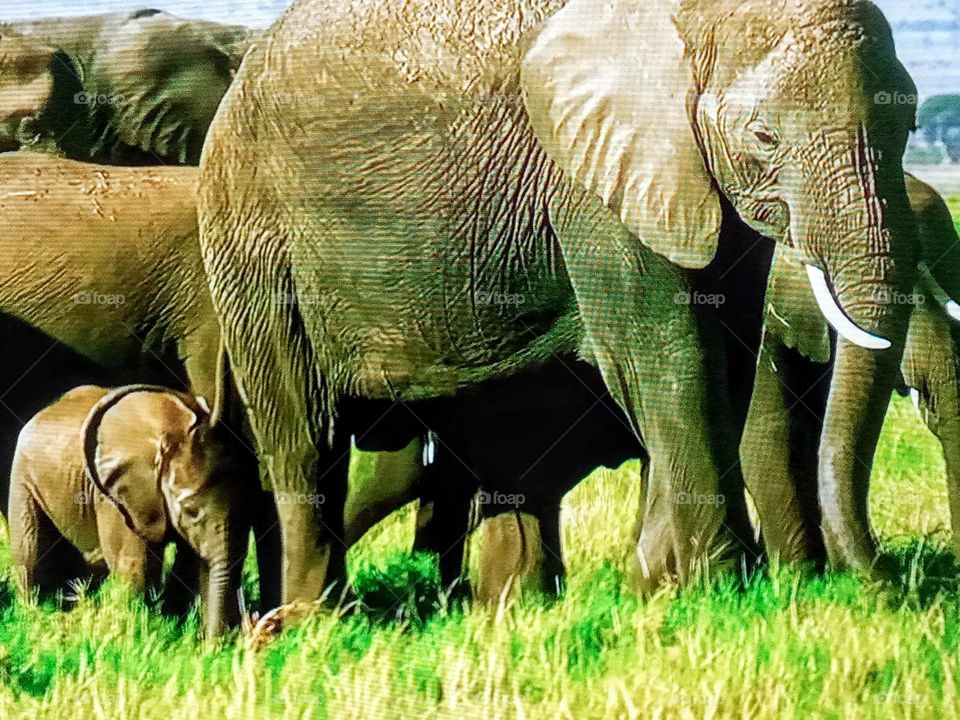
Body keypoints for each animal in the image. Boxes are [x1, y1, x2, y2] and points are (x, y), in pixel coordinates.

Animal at [8, 384, 250, 638]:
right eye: (191, 512)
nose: (213, 643)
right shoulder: (114, 499)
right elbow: (135, 566)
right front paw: (138, 634)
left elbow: (192, 563)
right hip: (23, 477)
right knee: (30, 554)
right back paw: (37, 617)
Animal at [197, 0, 934, 604]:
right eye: (765, 138)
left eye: (912, 123)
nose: (885, 588)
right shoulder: (591, 179)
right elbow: (670, 361)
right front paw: (720, 592)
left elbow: (724, 358)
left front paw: (659, 590)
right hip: (252, 230)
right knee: (306, 434)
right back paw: (312, 622)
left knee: (506, 444)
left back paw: (512, 613)